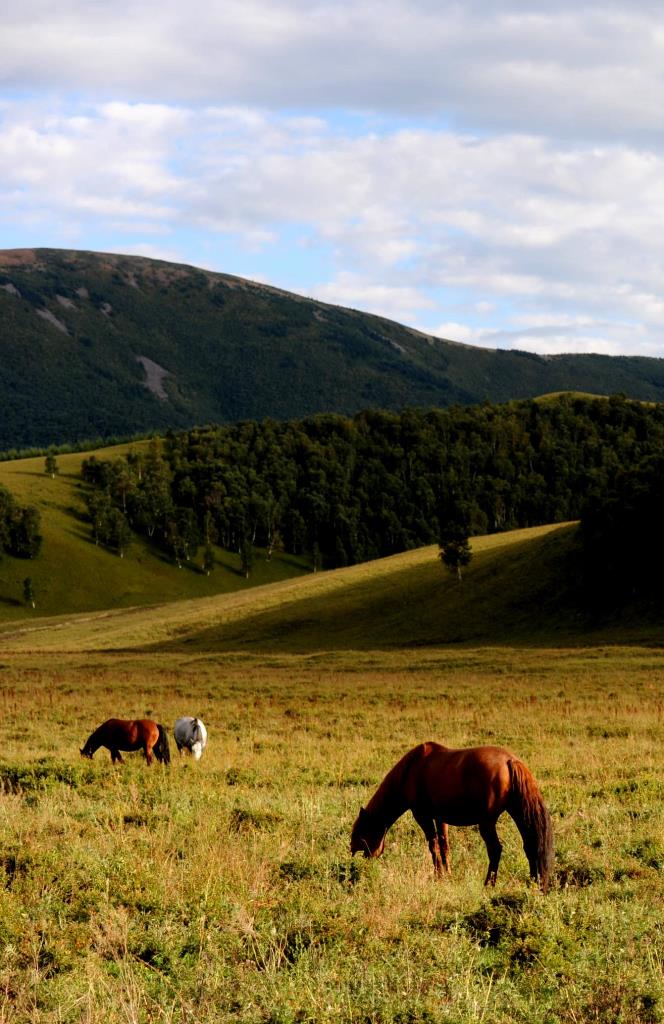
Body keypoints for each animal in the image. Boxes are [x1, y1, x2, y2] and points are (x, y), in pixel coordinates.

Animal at [352, 741, 553, 892]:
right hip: (518, 813)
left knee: (495, 849)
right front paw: (448, 874)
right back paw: (533, 883)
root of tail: (510, 761)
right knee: (530, 846)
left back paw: (488, 884)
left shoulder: (422, 815)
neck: (411, 769)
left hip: (487, 822)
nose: (361, 862)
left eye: (360, 834)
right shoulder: (440, 818)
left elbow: (433, 845)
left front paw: (438, 876)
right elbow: (444, 846)